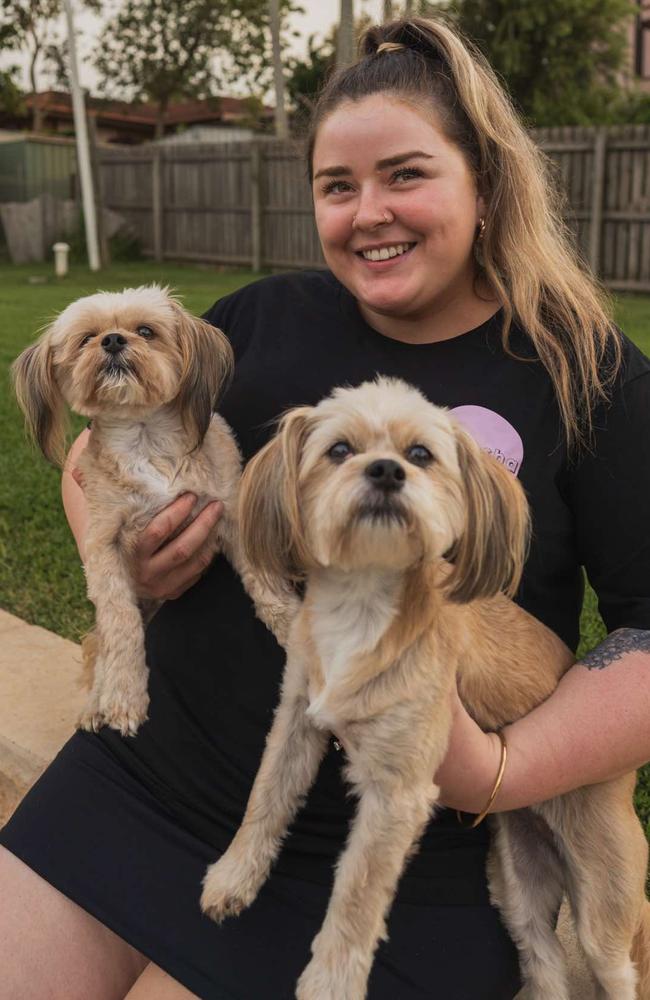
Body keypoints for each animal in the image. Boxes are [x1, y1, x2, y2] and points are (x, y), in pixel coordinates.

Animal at [12, 286, 292, 740]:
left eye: (145, 330)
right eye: (86, 339)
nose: (112, 340)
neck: (145, 440)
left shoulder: (231, 515)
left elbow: (269, 589)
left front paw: (296, 630)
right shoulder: (103, 547)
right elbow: (120, 623)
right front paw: (124, 697)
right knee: (105, 644)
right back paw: (97, 703)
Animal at [200, 376, 644, 1000]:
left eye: (420, 455)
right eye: (339, 449)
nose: (387, 471)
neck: (361, 607)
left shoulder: (397, 792)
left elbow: (357, 895)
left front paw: (330, 982)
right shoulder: (297, 720)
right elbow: (266, 798)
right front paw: (234, 875)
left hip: (604, 905)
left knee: (614, 965)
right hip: (518, 885)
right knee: (544, 961)